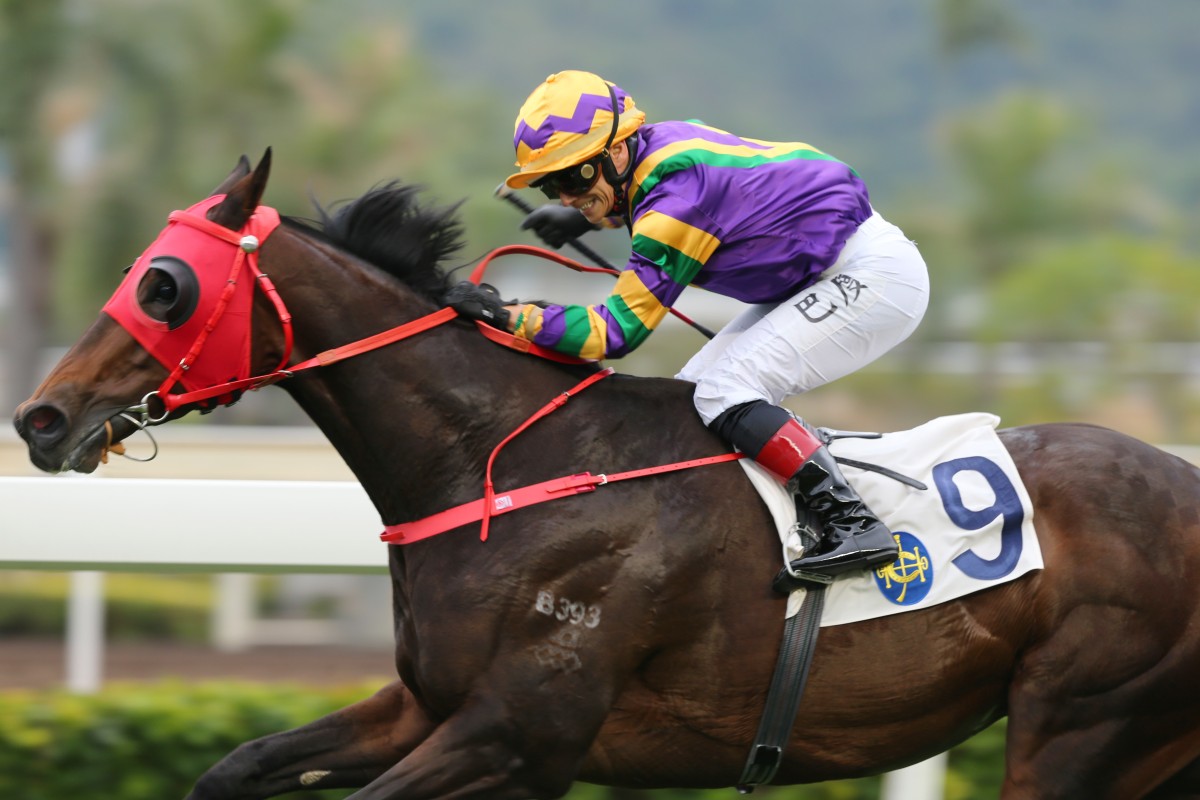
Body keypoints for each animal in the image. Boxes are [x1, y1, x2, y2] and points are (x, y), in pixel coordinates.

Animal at [14, 151, 1200, 800]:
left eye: (163, 285)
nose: (42, 416)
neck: (503, 466)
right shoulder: (426, 707)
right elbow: (239, 762)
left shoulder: (519, 737)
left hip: (1085, 725)